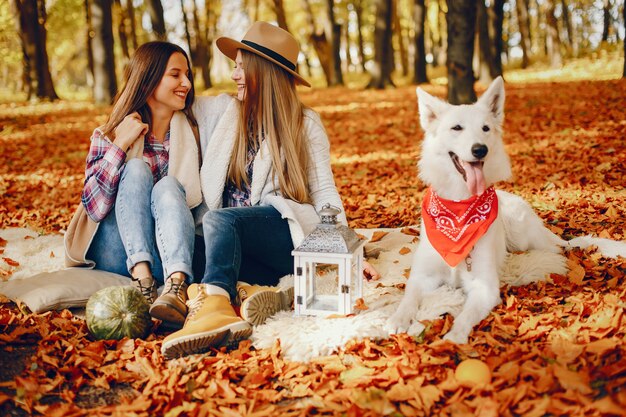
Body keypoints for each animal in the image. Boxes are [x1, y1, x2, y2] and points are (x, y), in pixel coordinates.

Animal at [388, 76, 620, 342]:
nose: (480, 149)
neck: (459, 209)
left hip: (522, 235)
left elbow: (465, 316)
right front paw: (398, 318)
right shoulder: (422, 277)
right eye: (456, 128)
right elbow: (409, 298)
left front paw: (454, 339)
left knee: (557, 249)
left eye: (485, 129)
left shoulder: (484, 286)